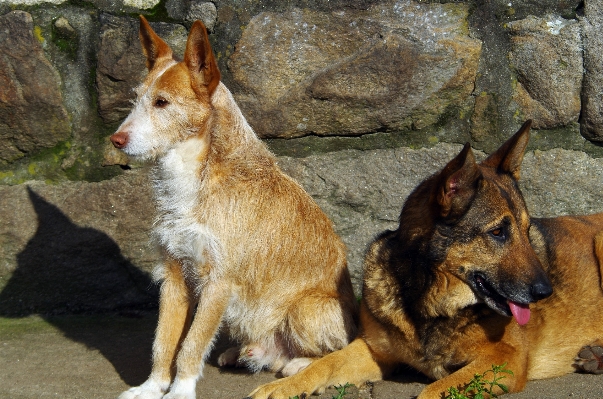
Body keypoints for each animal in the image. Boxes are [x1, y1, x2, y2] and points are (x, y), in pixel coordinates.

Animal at [109, 17, 356, 399]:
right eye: (136, 99)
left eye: (162, 102)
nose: (115, 140)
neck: (197, 175)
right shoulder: (174, 276)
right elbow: (163, 342)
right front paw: (151, 387)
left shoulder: (219, 283)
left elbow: (191, 345)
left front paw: (179, 391)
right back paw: (243, 353)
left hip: (307, 310)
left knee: (336, 349)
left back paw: (298, 364)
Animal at [248, 120, 603, 398]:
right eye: (498, 232)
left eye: (527, 231)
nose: (546, 292)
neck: (429, 302)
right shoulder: (373, 350)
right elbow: (326, 364)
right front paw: (283, 386)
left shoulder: (505, 360)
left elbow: (431, 391)